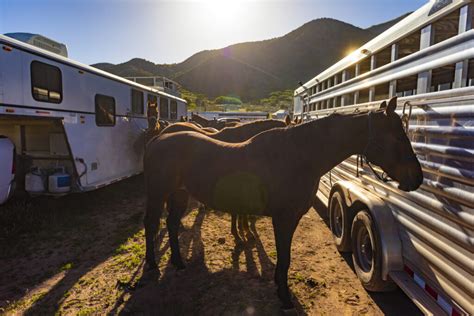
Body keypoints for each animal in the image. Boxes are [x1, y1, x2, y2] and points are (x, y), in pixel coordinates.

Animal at [144, 98, 422, 308]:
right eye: (398, 138)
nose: (417, 178)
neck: (299, 157)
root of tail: (157, 139)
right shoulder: (284, 218)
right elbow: (285, 257)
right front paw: (285, 297)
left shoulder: (291, 218)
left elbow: (283, 257)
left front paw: (280, 287)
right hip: (157, 194)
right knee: (151, 225)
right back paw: (152, 266)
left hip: (179, 194)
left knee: (171, 223)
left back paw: (178, 262)